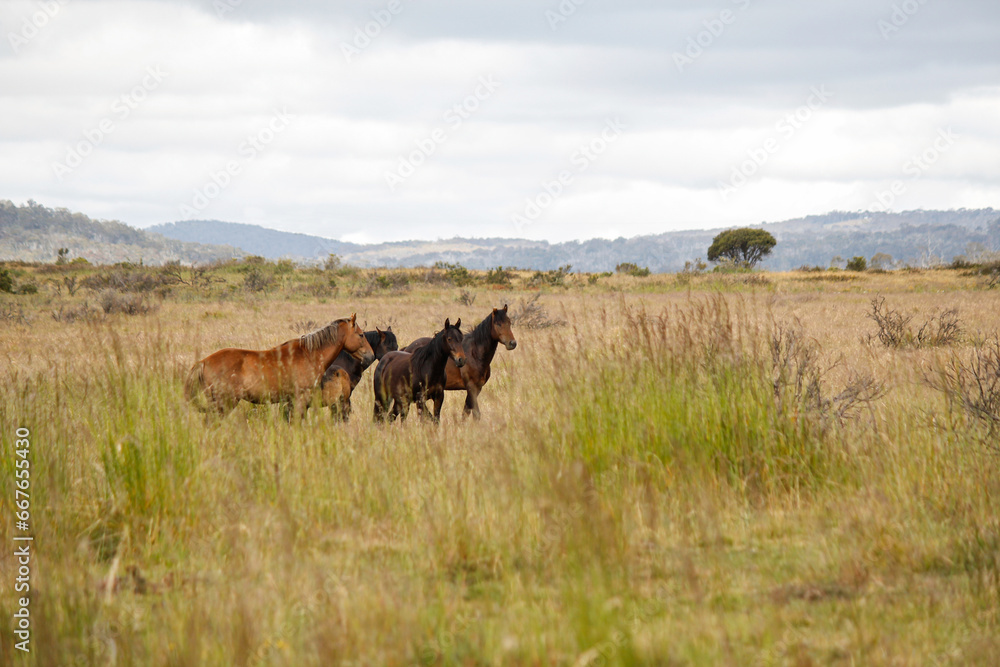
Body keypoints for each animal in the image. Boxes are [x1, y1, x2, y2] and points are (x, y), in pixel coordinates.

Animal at [184, 314, 374, 420]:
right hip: (224, 404)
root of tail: (203, 362)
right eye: (361, 335)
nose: (370, 356)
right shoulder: (300, 400)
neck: (308, 354)